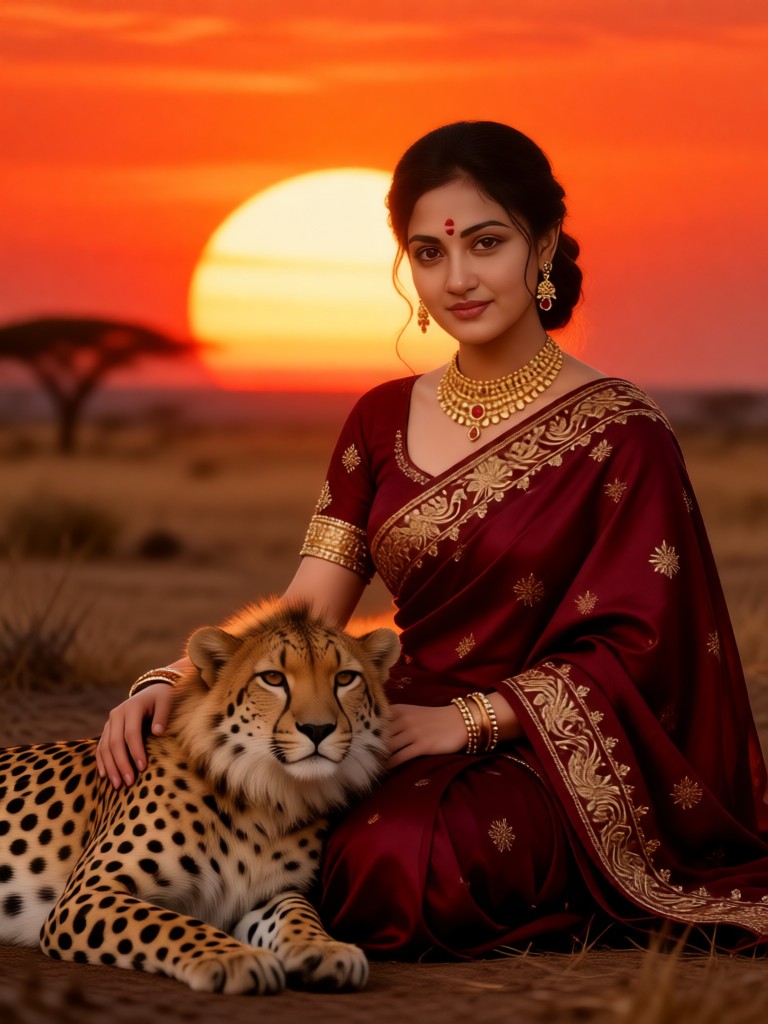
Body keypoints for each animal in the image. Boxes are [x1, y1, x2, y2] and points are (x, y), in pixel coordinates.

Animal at [0, 603, 399, 994]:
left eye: (345, 679)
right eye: (273, 678)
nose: (318, 729)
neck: (267, 793)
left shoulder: (268, 894)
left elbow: (298, 912)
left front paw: (323, 946)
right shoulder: (87, 895)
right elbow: (166, 923)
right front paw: (235, 957)